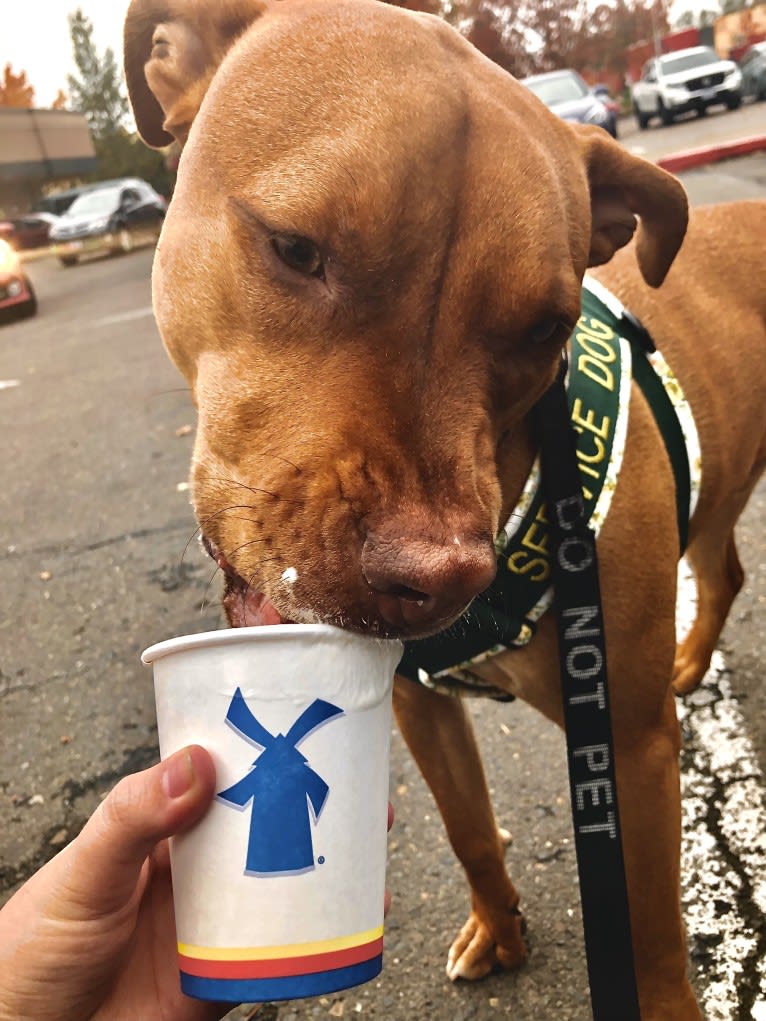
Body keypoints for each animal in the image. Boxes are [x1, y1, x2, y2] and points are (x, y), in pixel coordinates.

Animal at [123, 3, 763, 1016]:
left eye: (544, 328)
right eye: (295, 247)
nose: (443, 578)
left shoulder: (628, 747)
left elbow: (654, 931)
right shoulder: (420, 708)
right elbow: (467, 827)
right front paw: (499, 929)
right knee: (724, 564)